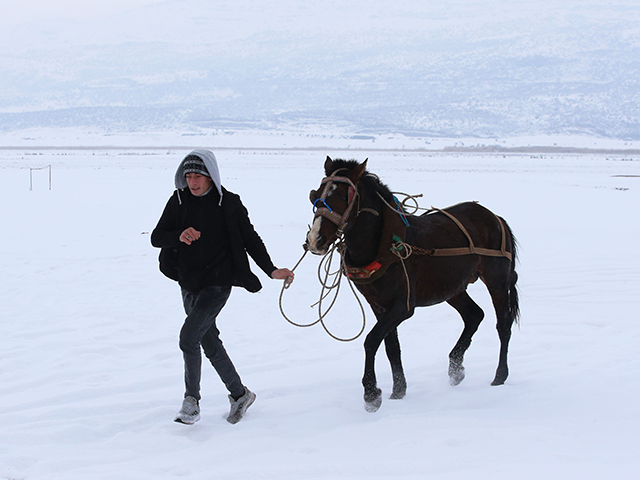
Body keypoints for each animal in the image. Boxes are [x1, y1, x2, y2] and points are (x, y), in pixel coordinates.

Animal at [306, 158, 520, 412]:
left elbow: (371, 341)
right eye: (316, 194)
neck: (384, 245)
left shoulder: (403, 306)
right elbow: (391, 346)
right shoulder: (378, 305)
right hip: (452, 287)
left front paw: (371, 394)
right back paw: (456, 368)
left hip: (496, 279)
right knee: (474, 315)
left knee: (503, 324)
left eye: (342, 196)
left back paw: (499, 376)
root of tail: (495, 217)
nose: (315, 240)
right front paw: (398, 390)